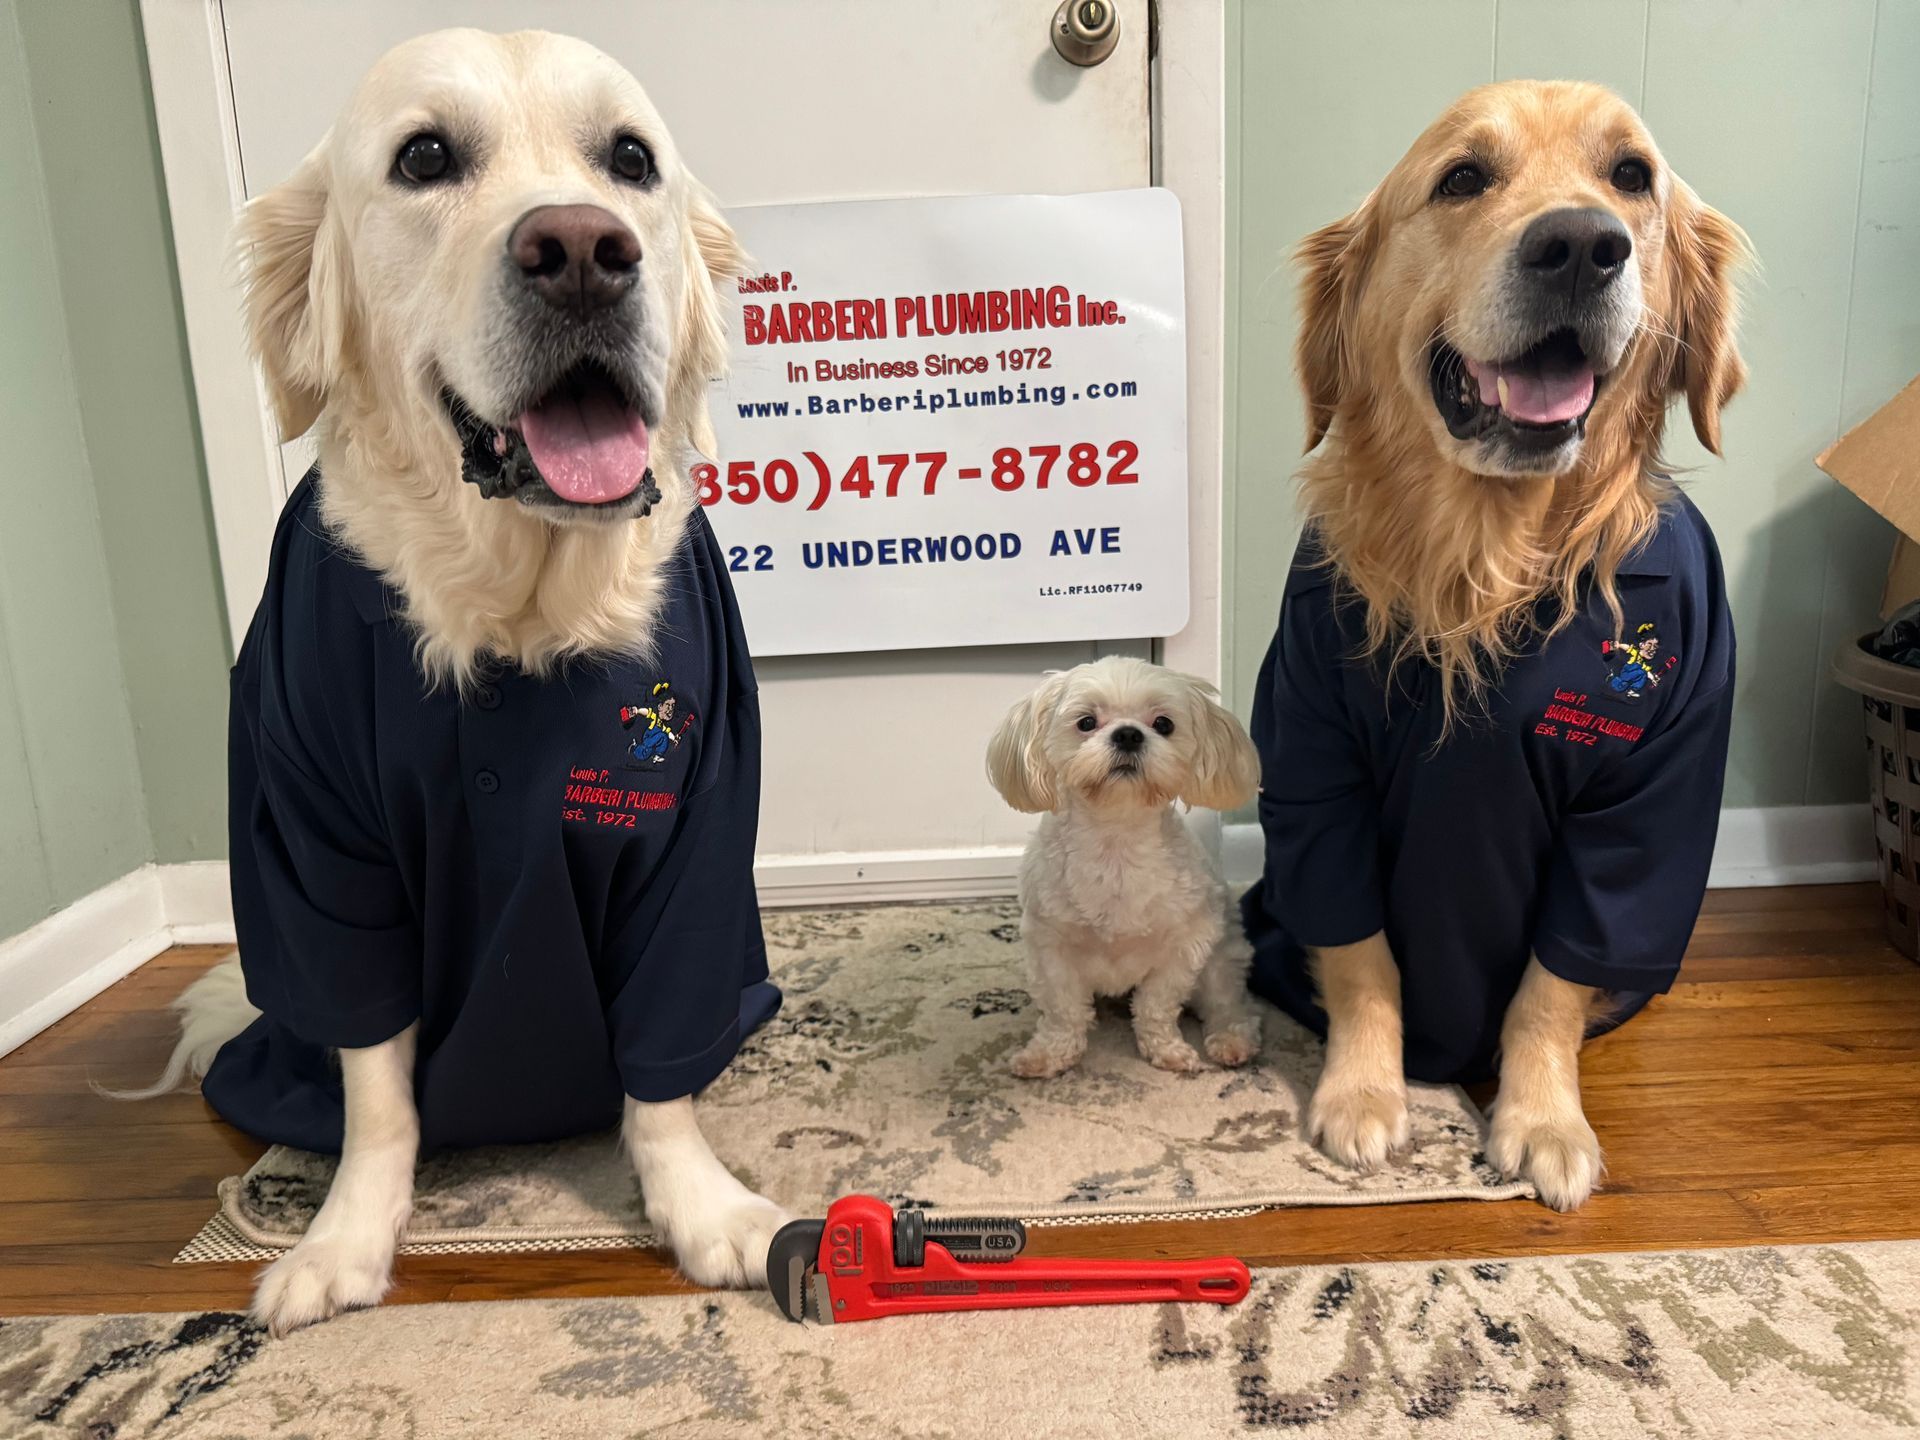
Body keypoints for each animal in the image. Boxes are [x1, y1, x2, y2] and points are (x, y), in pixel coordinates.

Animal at [990, 660, 1259, 1075]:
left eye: (1164, 724)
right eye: (1086, 722)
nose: (1129, 735)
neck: (1115, 843)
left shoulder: (1185, 945)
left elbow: (1156, 1005)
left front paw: (1166, 1049)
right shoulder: (1051, 945)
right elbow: (1063, 1010)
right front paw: (1050, 1055)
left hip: (1221, 955)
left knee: (1227, 1003)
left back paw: (1232, 1040)